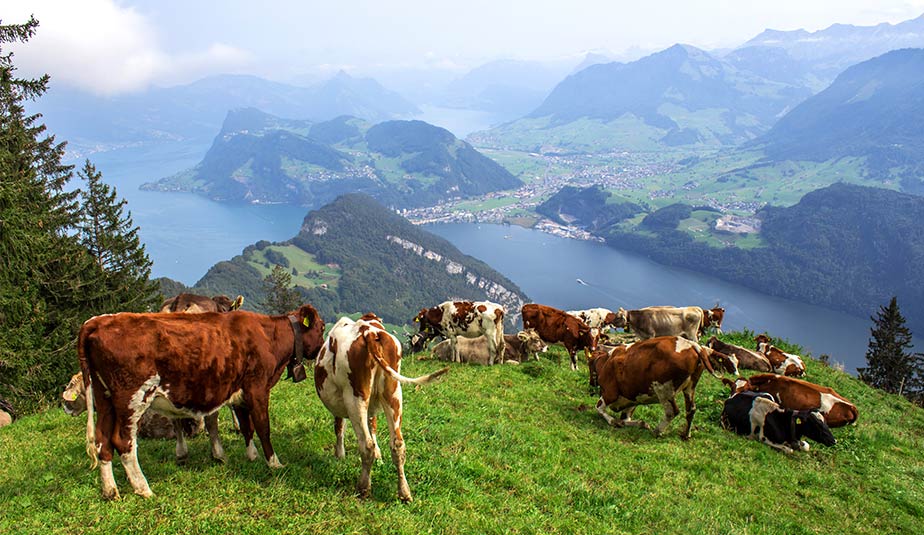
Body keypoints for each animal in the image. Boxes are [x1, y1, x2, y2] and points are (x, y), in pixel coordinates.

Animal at [79, 304, 324, 500]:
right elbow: (263, 427)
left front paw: (252, 456)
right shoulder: (258, 388)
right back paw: (143, 488)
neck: (269, 335)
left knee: (102, 441)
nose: (321, 349)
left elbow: (247, 427)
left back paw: (110, 491)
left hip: (104, 399)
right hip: (132, 398)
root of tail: (97, 321)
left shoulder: (240, 394)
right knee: (123, 442)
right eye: (322, 328)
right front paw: (273, 462)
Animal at [315, 314, 448, 502]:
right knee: (398, 444)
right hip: (393, 392)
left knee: (366, 444)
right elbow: (373, 424)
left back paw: (363, 487)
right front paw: (379, 455)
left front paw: (340, 455)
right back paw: (404, 492)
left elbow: (340, 426)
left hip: (355, 397)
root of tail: (369, 332)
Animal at [588, 336, 738, 439]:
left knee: (672, 411)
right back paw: (686, 434)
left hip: (663, 389)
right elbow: (626, 419)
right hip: (690, 387)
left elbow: (599, 409)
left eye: (590, 366)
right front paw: (640, 423)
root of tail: (692, 344)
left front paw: (614, 421)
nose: (591, 384)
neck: (607, 361)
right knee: (691, 410)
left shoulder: (610, 393)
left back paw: (657, 431)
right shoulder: (632, 398)